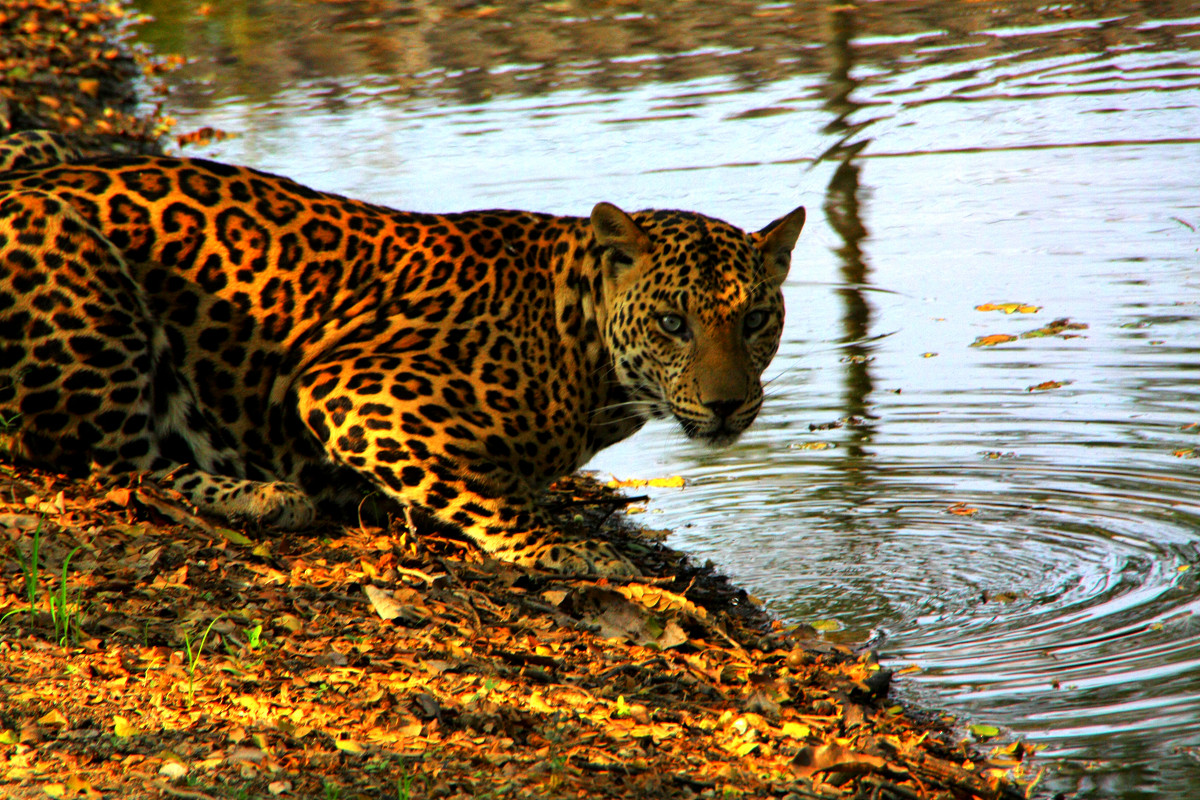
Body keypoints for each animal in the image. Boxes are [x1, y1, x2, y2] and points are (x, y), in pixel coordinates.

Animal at [2, 128, 806, 573]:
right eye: (672, 322)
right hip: (69, 253)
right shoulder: (349, 389)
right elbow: (486, 491)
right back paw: (263, 496)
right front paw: (566, 547)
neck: (579, 341)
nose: (729, 405)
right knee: (104, 463)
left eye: (756, 319)